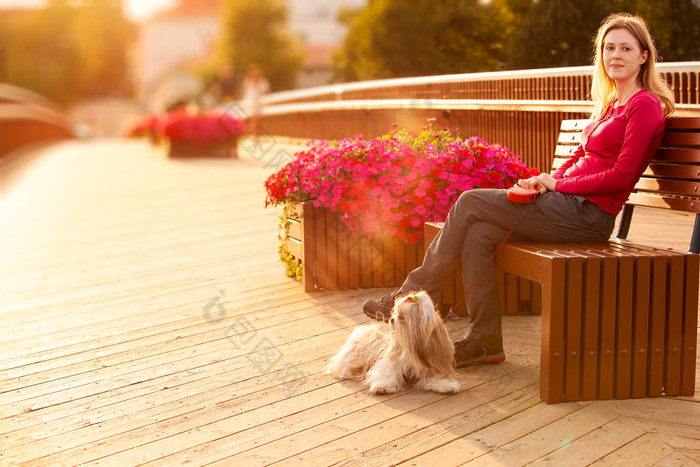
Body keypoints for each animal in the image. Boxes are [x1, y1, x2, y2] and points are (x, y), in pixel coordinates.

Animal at [326, 292, 460, 394]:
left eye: (402, 317)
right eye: (395, 312)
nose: (391, 319)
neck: (411, 349)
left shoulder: (433, 360)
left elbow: (437, 376)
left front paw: (447, 385)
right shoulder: (390, 360)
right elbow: (386, 373)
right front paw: (382, 386)